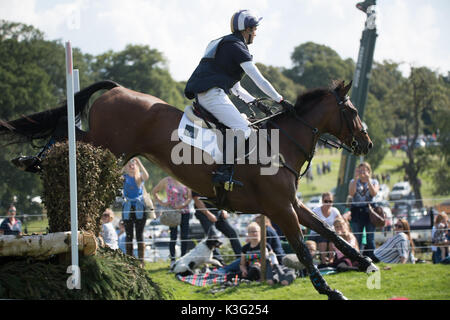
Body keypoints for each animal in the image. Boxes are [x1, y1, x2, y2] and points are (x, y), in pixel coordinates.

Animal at [0, 79, 376, 298]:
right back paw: (30, 160)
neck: (282, 142)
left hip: (110, 146)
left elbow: (327, 229)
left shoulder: (291, 205)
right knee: (67, 133)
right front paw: (328, 289)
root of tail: (119, 89)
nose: (367, 144)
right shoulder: (281, 210)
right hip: (108, 144)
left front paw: (365, 263)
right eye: (353, 110)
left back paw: (30, 159)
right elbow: (301, 246)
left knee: (69, 132)